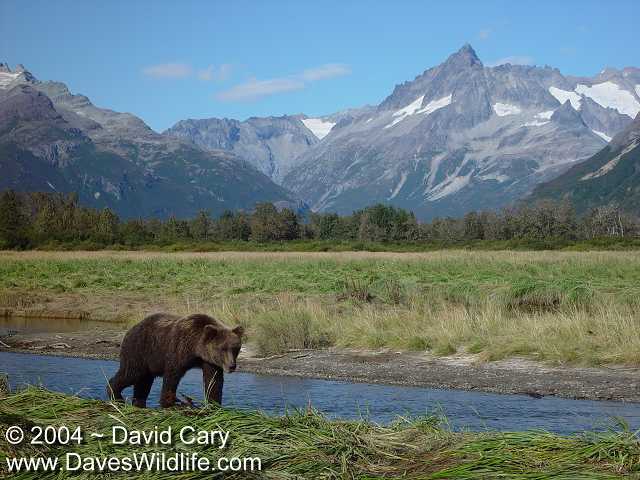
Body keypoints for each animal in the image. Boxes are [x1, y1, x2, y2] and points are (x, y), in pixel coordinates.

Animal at [107, 312, 242, 408]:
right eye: (223, 348)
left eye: (235, 348)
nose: (232, 366)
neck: (195, 348)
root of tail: (130, 329)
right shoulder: (178, 349)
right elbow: (172, 376)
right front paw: (168, 403)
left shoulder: (209, 360)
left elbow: (213, 381)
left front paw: (214, 404)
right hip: (139, 349)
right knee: (131, 373)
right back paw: (116, 396)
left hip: (148, 361)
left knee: (144, 382)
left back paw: (138, 403)